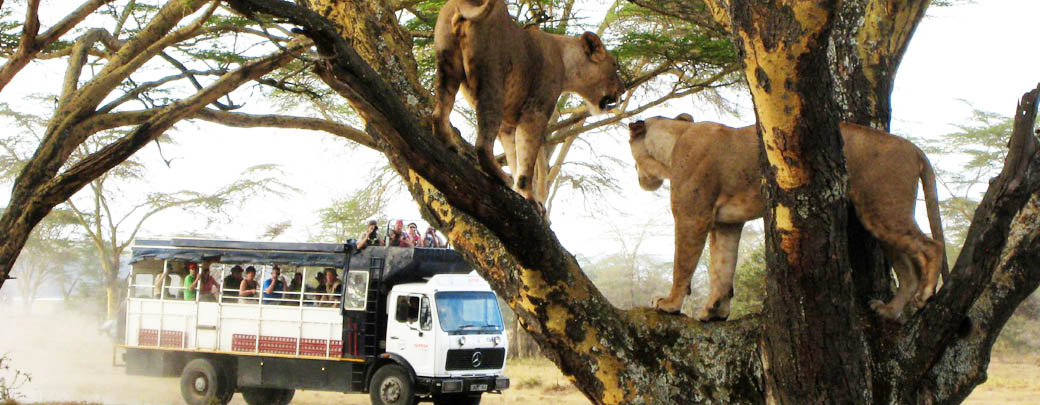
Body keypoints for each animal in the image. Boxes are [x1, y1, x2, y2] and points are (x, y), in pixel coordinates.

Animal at [432, 0, 624, 200]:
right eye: (614, 66)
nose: (624, 87)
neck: (566, 60)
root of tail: (464, 2)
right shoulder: (535, 111)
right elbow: (527, 159)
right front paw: (530, 198)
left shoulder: (508, 126)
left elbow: (514, 157)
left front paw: (521, 193)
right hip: (492, 80)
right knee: (483, 145)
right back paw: (501, 177)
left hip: (447, 65)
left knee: (439, 112)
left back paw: (448, 144)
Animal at [628, 114, 948, 322]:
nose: (638, 179)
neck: (676, 139)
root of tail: (914, 148)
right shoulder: (726, 224)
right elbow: (722, 267)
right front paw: (714, 311)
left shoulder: (692, 217)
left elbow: (683, 265)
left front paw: (669, 304)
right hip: (879, 217)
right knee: (908, 271)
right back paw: (889, 311)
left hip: (884, 209)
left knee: (933, 247)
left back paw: (925, 295)